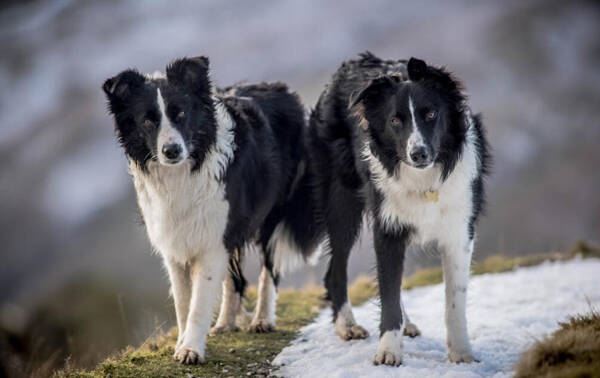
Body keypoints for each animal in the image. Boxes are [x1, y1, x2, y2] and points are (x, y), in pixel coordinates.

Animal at [102, 56, 324, 364]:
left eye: (181, 113)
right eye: (147, 120)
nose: (172, 150)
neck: (185, 170)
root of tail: (282, 88)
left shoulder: (213, 238)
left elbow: (199, 301)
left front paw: (191, 349)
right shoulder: (177, 241)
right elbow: (184, 302)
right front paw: (182, 342)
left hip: (271, 214)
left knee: (269, 268)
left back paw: (262, 319)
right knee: (233, 279)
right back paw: (225, 323)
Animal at [310, 51, 492, 364]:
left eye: (431, 114)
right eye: (395, 120)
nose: (418, 154)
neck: (425, 180)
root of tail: (353, 62)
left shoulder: (459, 231)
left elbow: (454, 300)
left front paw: (461, 353)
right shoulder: (388, 228)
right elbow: (388, 294)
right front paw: (388, 351)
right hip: (342, 203)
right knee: (335, 270)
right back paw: (347, 325)